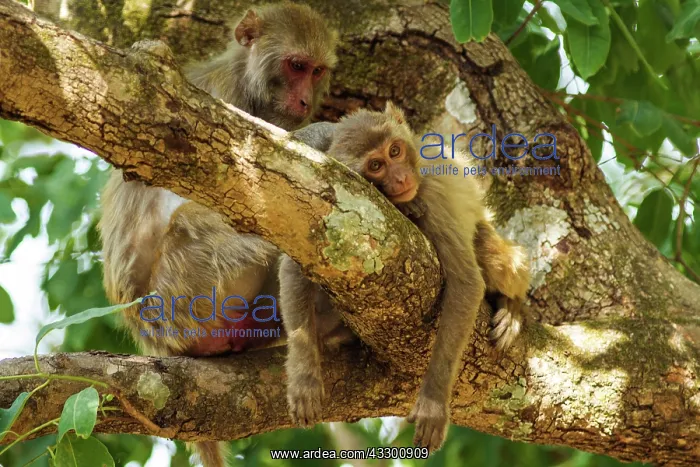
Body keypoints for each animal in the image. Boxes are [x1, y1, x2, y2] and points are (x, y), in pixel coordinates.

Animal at [98, 4, 338, 466]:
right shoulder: (227, 101)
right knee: (193, 223)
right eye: (296, 66)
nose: (305, 101)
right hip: (180, 300)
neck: (247, 84)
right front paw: (324, 134)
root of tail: (154, 343)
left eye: (317, 71)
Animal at [283, 103, 531, 452]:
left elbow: (467, 283)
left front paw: (433, 402)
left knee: (496, 258)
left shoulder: (433, 199)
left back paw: (512, 307)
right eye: (376, 165)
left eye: (395, 151)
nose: (400, 178)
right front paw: (304, 377)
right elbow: (293, 266)